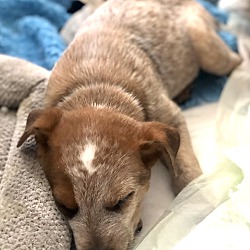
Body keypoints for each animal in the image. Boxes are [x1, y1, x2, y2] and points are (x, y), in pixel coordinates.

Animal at [17, 0, 240, 250]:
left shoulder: (169, 115)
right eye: (65, 206)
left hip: (208, 49)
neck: (98, 90)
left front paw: (195, 202)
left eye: (123, 200)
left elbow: (185, 170)